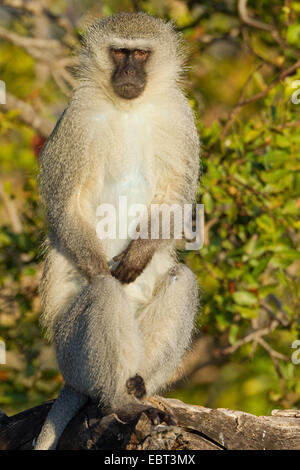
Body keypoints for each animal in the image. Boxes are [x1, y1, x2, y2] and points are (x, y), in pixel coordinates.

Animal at [35, 12, 199, 450]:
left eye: (140, 54)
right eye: (118, 53)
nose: (128, 72)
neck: (130, 108)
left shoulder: (179, 116)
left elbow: (176, 197)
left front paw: (138, 256)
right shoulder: (75, 119)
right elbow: (64, 205)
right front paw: (97, 267)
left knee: (182, 279)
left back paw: (140, 392)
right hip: (72, 354)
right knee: (106, 292)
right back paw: (117, 401)